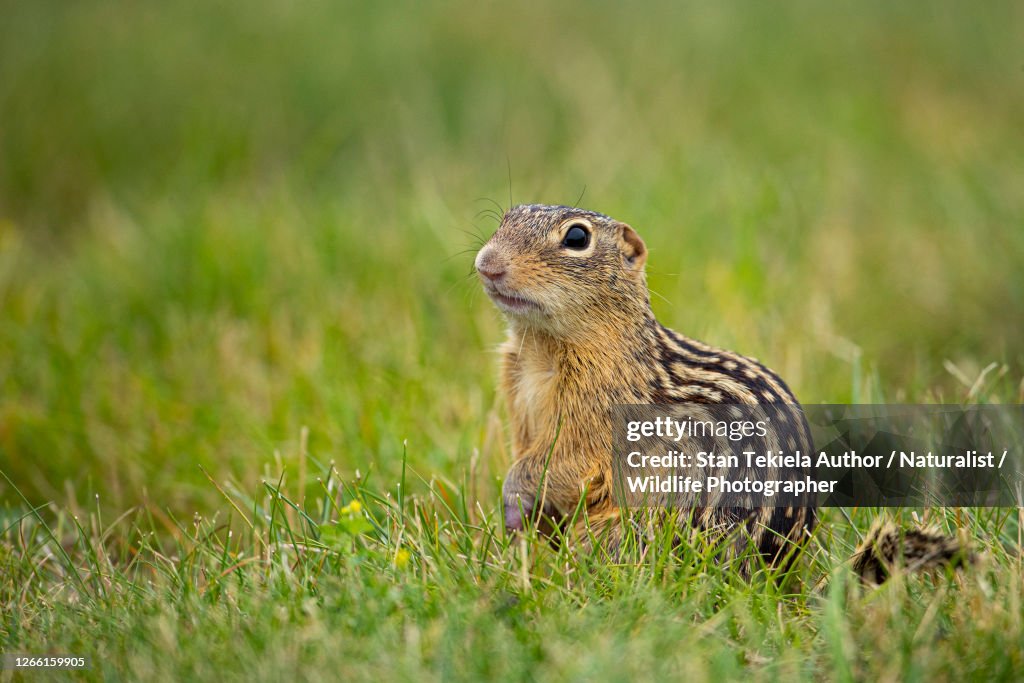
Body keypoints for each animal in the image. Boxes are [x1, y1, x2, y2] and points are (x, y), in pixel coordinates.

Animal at [475, 203, 973, 581]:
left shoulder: (596, 416)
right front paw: (523, 525)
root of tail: (775, 576)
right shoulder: (519, 403)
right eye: (506, 217)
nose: (486, 261)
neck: (541, 348)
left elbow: (562, 463)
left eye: (577, 237)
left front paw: (514, 501)